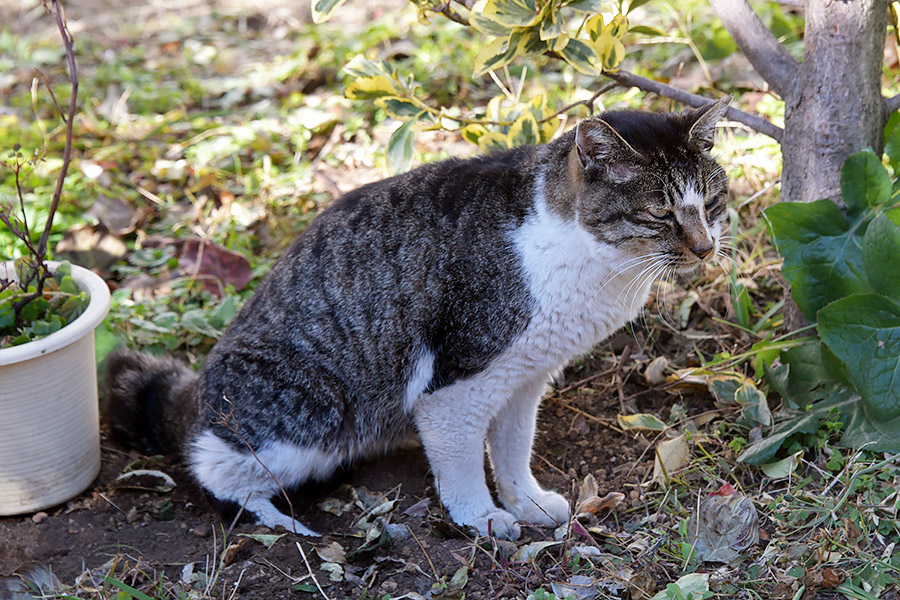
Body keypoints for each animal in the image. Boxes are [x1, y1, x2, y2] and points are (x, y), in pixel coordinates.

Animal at [102, 97, 732, 540]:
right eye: (660, 213)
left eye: (712, 202)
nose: (705, 248)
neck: (599, 267)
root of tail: (198, 390)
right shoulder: (457, 382)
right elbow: (462, 461)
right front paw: (481, 517)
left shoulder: (525, 376)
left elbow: (512, 448)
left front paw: (526, 501)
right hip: (315, 406)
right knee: (213, 465)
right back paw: (281, 522)